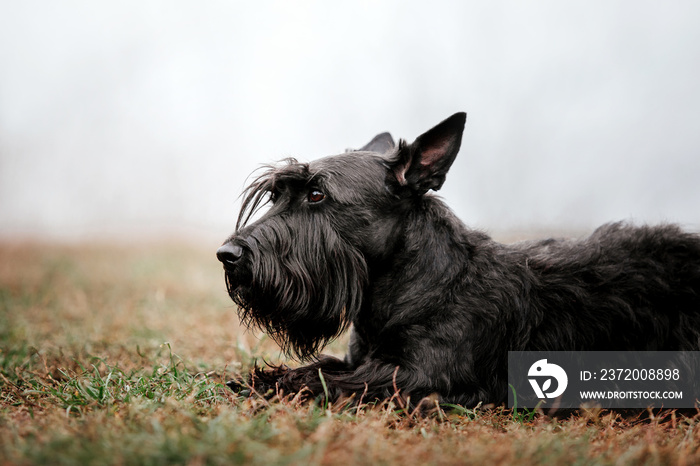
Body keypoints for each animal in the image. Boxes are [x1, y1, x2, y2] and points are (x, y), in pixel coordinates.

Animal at [217, 114, 700, 408]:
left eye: (317, 194)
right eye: (277, 195)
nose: (227, 255)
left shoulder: (420, 376)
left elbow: (327, 379)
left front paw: (275, 384)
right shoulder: (362, 359)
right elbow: (322, 366)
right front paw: (262, 378)